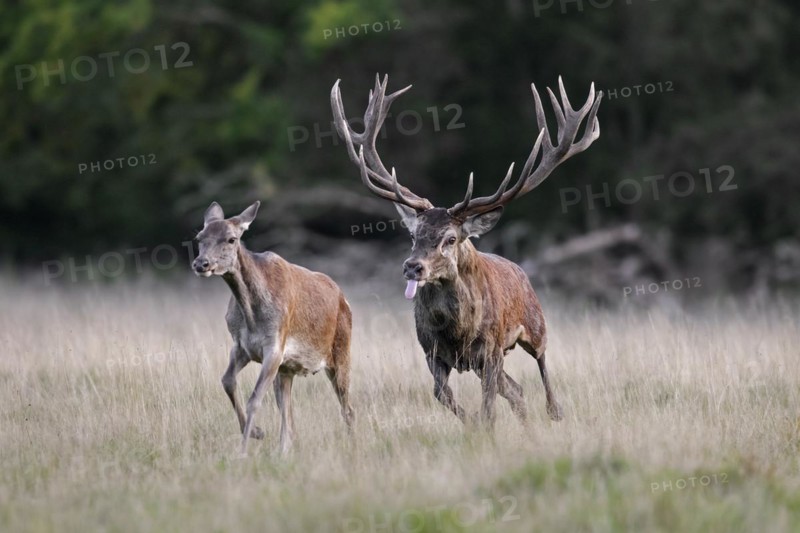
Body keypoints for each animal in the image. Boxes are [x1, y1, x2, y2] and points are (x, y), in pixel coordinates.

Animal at [192, 201, 354, 454]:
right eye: (199, 237)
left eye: (231, 239)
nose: (201, 263)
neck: (251, 314)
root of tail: (343, 297)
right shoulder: (241, 346)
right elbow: (227, 381)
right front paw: (257, 432)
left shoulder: (275, 346)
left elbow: (255, 399)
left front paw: (243, 449)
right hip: (287, 370)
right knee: (290, 418)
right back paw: (283, 452)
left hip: (341, 351)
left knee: (348, 409)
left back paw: (353, 446)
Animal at [331, 74, 601, 430]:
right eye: (413, 234)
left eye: (450, 239)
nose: (412, 267)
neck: (457, 332)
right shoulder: (432, 353)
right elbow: (443, 394)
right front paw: (471, 423)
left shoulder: (491, 349)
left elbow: (488, 407)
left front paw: (484, 425)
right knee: (515, 389)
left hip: (534, 322)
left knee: (542, 363)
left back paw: (555, 410)